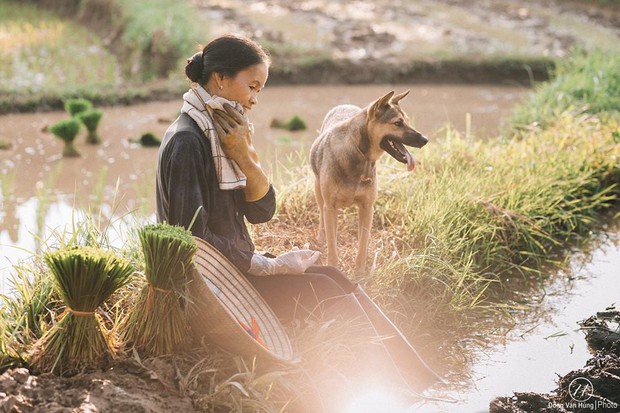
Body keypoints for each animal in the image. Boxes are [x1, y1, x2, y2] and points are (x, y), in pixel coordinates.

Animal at [308, 91, 426, 274]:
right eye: (397, 123)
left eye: (407, 120)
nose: (425, 139)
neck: (359, 153)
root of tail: (344, 105)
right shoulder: (331, 207)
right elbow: (332, 246)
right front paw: (333, 266)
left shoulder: (367, 208)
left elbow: (362, 244)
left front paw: (360, 272)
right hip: (319, 191)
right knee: (322, 216)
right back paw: (321, 238)